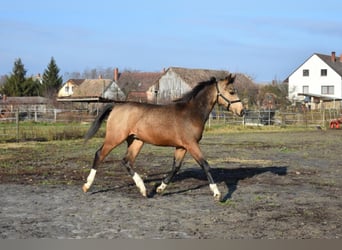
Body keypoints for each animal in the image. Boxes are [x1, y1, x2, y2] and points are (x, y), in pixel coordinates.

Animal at [82, 74, 243, 201]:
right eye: (231, 91)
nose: (242, 111)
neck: (192, 113)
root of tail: (116, 106)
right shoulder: (191, 144)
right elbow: (205, 164)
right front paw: (217, 193)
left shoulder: (181, 146)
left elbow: (176, 167)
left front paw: (160, 188)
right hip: (115, 138)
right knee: (100, 154)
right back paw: (87, 185)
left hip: (136, 140)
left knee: (127, 161)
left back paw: (143, 189)